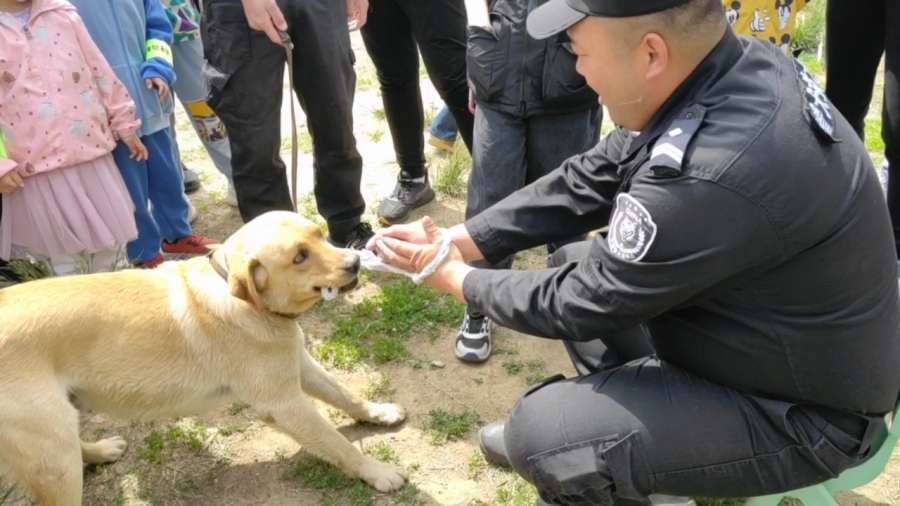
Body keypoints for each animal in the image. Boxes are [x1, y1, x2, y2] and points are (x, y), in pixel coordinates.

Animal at [0, 211, 404, 506]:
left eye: (320, 234)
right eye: (299, 257)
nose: (355, 261)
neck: (243, 299)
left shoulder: (296, 364)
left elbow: (345, 394)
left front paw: (379, 413)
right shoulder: (284, 404)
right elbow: (338, 444)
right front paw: (376, 470)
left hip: (56, 436)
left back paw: (100, 451)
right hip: (54, 458)